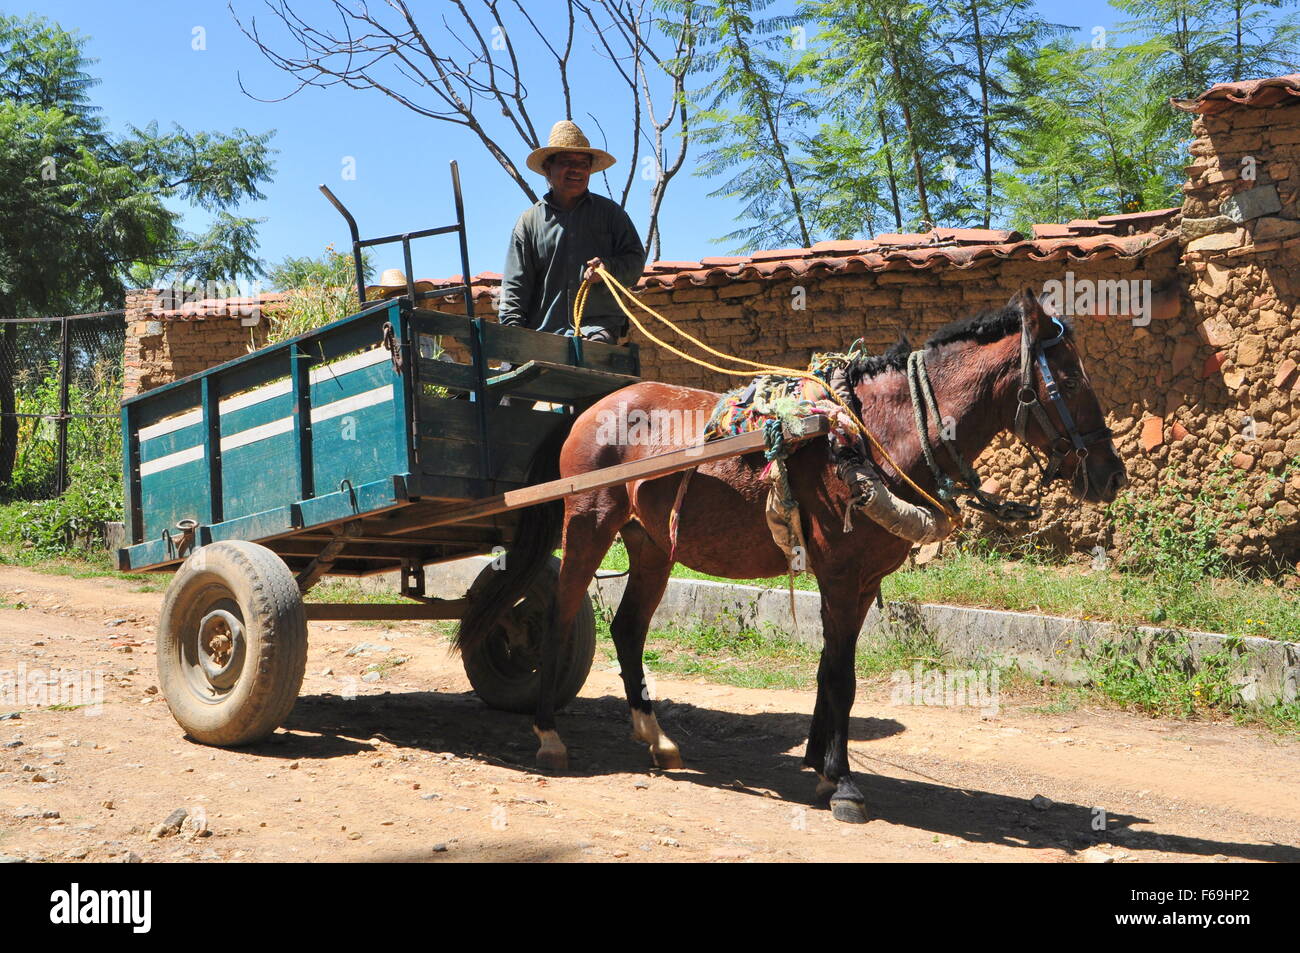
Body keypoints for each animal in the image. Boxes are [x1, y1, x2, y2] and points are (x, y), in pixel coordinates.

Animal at [460, 286, 1128, 821]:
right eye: (1070, 381)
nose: (1111, 475)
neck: (869, 435)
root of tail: (591, 407)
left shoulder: (861, 581)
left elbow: (835, 671)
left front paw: (819, 763)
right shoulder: (840, 575)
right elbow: (842, 676)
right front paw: (842, 783)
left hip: (651, 542)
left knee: (627, 628)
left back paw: (656, 737)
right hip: (588, 524)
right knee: (562, 614)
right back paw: (549, 736)